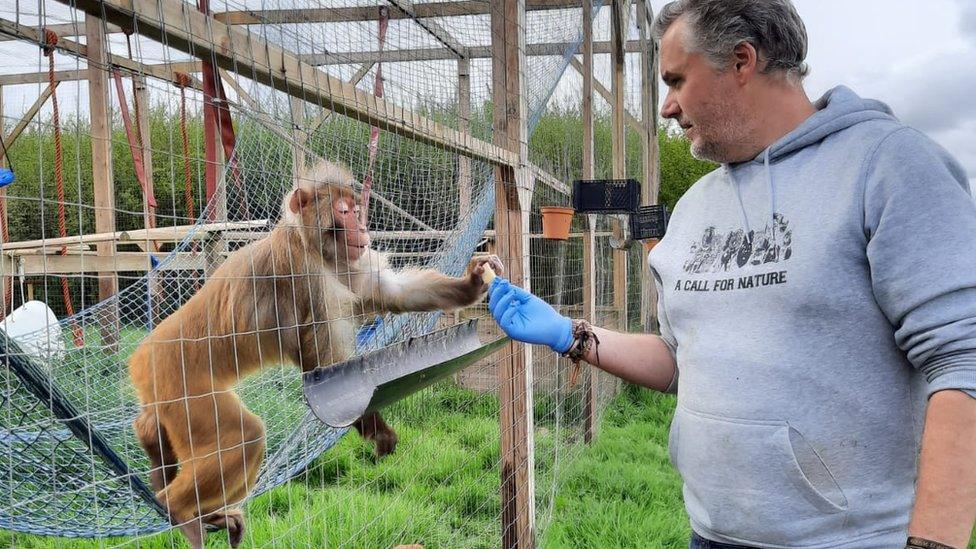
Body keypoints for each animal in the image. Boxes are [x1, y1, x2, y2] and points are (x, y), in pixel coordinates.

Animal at [130, 156, 504, 544]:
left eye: (357, 210)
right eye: (344, 211)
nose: (361, 227)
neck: (315, 248)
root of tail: (141, 358)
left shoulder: (348, 265)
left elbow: (393, 292)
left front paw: (472, 283)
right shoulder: (304, 274)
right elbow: (323, 362)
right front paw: (373, 426)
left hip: (167, 390)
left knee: (171, 427)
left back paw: (159, 454)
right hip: (179, 382)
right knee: (242, 437)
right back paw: (178, 508)